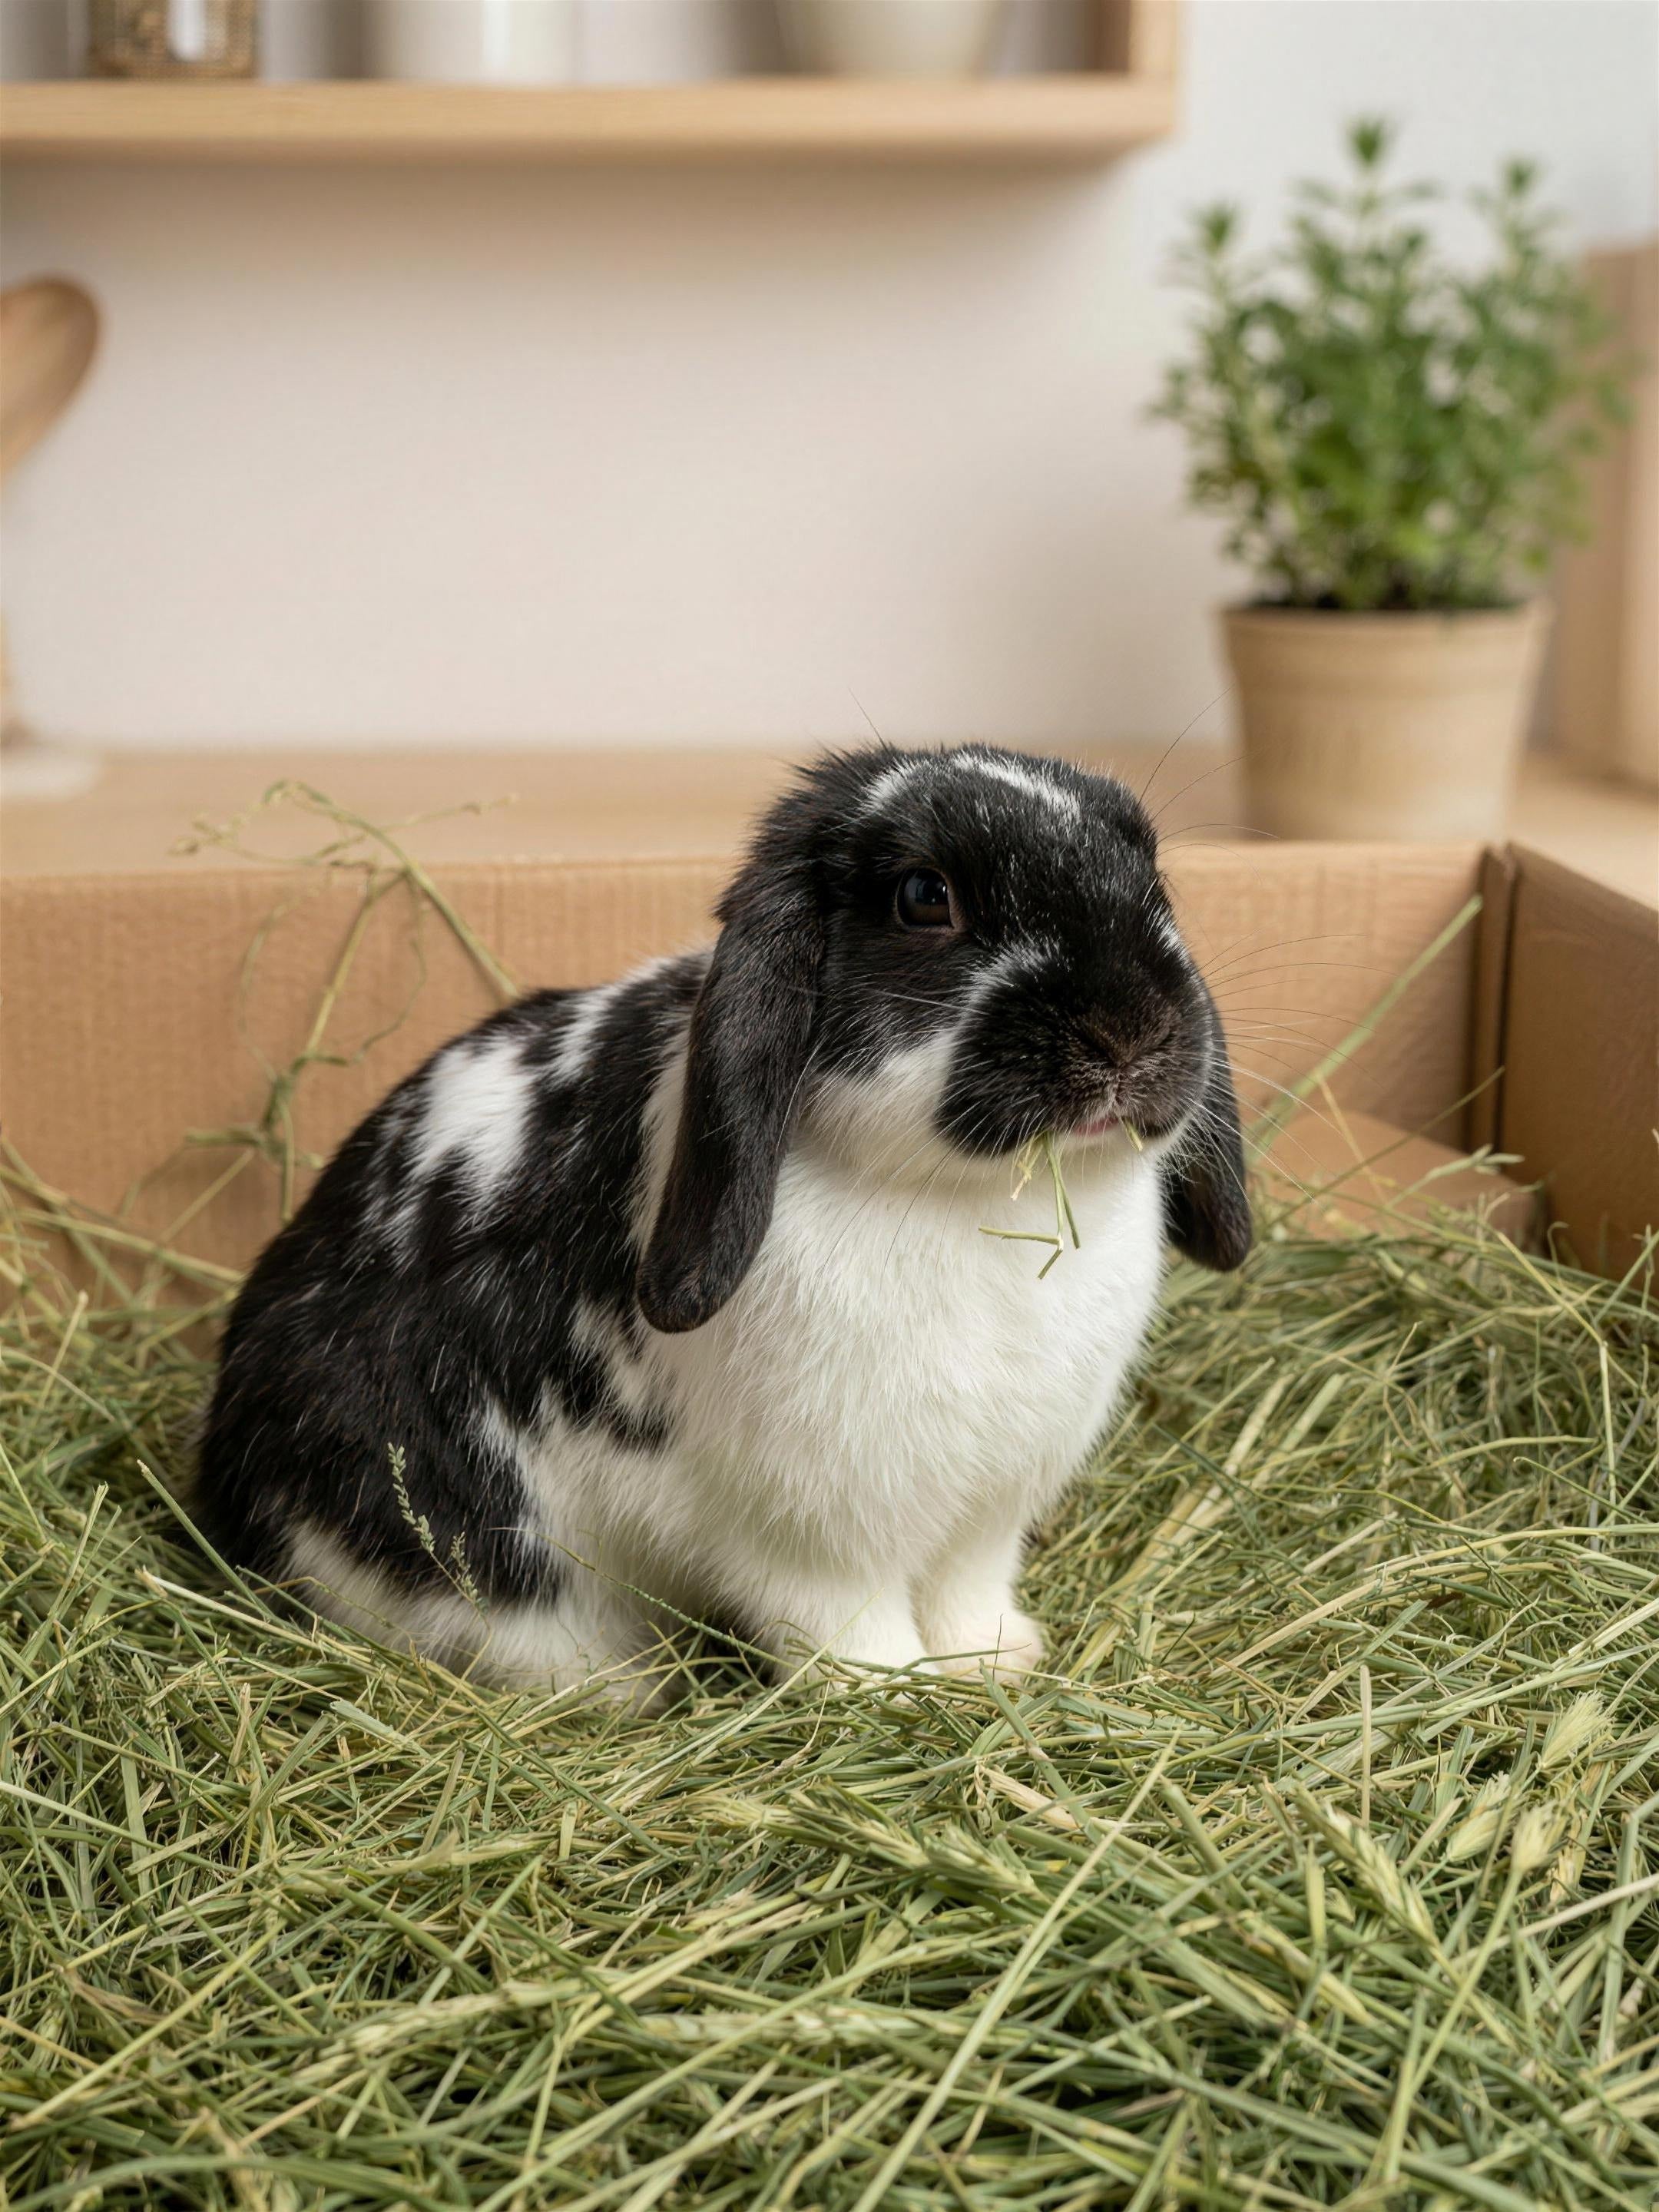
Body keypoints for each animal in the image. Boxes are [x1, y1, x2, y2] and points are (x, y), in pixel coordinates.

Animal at [195, 744, 1250, 1702]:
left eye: (1150, 878)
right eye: (923, 897)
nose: (1129, 1028)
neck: (984, 1203)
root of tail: (228, 1483)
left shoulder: (986, 1509)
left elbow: (966, 1590)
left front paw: (1000, 1665)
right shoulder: (817, 1531)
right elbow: (848, 1621)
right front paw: (895, 1696)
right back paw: (628, 1684)